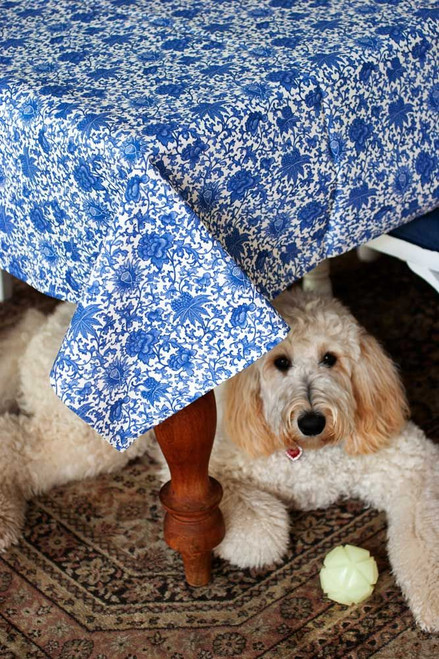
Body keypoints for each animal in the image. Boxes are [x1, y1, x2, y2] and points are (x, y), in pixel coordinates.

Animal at [0, 296, 438, 636]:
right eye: (280, 362)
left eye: (330, 359)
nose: (312, 421)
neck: (310, 453)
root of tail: (55, 316)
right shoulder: (209, 467)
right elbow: (263, 533)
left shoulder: (412, 466)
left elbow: (423, 531)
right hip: (95, 436)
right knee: (15, 441)